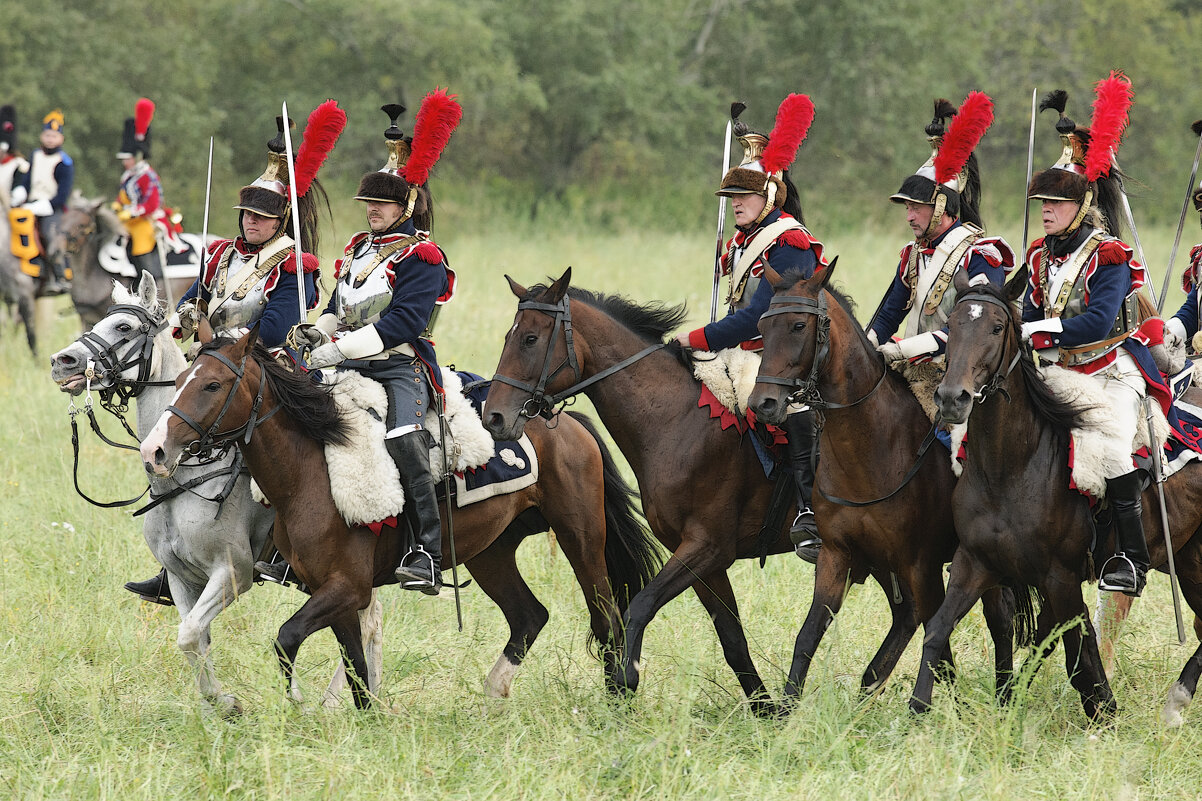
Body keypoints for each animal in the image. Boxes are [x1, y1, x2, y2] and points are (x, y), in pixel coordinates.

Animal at [49, 274, 379, 712]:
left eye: (123, 327)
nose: (62, 361)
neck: (182, 478)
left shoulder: (232, 573)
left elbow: (189, 635)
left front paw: (227, 703)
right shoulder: (180, 578)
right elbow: (196, 641)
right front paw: (215, 706)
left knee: (368, 622)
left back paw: (336, 701)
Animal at [141, 327, 668, 707]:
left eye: (213, 384)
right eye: (181, 380)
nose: (155, 451)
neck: (309, 471)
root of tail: (563, 421)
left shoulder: (344, 588)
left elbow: (286, 639)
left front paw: (297, 702)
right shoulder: (333, 593)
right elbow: (355, 670)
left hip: (581, 538)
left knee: (607, 617)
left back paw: (617, 696)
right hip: (491, 553)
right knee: (528, 616)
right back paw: (493, 696)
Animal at [483, 264, 802, 712]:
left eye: (530, 338)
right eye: (508, 337)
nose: (493, 417)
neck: (678, 421)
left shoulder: (706, 547)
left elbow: (640, 606)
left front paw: (625, 679)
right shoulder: (704, 561)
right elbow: (732, 639)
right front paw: (767, 711)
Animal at [740, 260, 1024, 697]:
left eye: (799, 326)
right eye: (762, 325)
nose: (763, 404)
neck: (871, 448)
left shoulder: (921, 565)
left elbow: (938, 641)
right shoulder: (836, 556)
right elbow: (808, 635)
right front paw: (786, 705)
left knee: (998, 619)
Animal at [923, 271, 1202, 721]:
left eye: (997, 328)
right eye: (953, 326)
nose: (952, 398)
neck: (1010, 469)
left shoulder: (1061, 578)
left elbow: (1078, 653)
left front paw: (1102, 710)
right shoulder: (974, 564)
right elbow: (936, 631)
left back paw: (1177, 698)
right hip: (1190, 559)